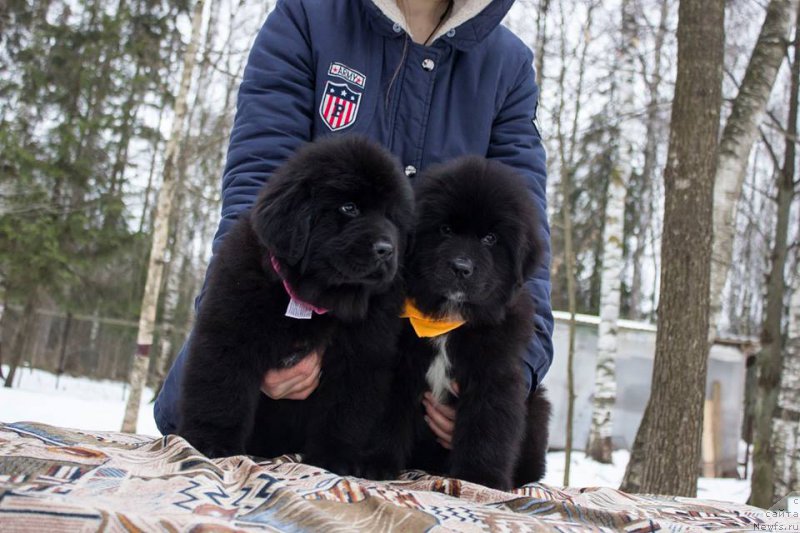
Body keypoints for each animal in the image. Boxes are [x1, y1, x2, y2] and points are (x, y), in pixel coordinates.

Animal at [179, 135, 416, 476]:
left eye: (391, 217)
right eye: (349, 207)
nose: (386, 250)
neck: (316, 298)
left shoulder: (360, 355)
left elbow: (344, 410)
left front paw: (333, 458)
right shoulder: (230, 332)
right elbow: (222, 390)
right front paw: (213, 444)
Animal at [382, 157, 552, 490]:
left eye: (490, 239)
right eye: (445, 230)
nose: (461, 268)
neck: (449, 320)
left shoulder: (493, 377)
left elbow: (486, 431)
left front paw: (480, 479)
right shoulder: (399, 367)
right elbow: (386, 417)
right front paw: (373, 462)